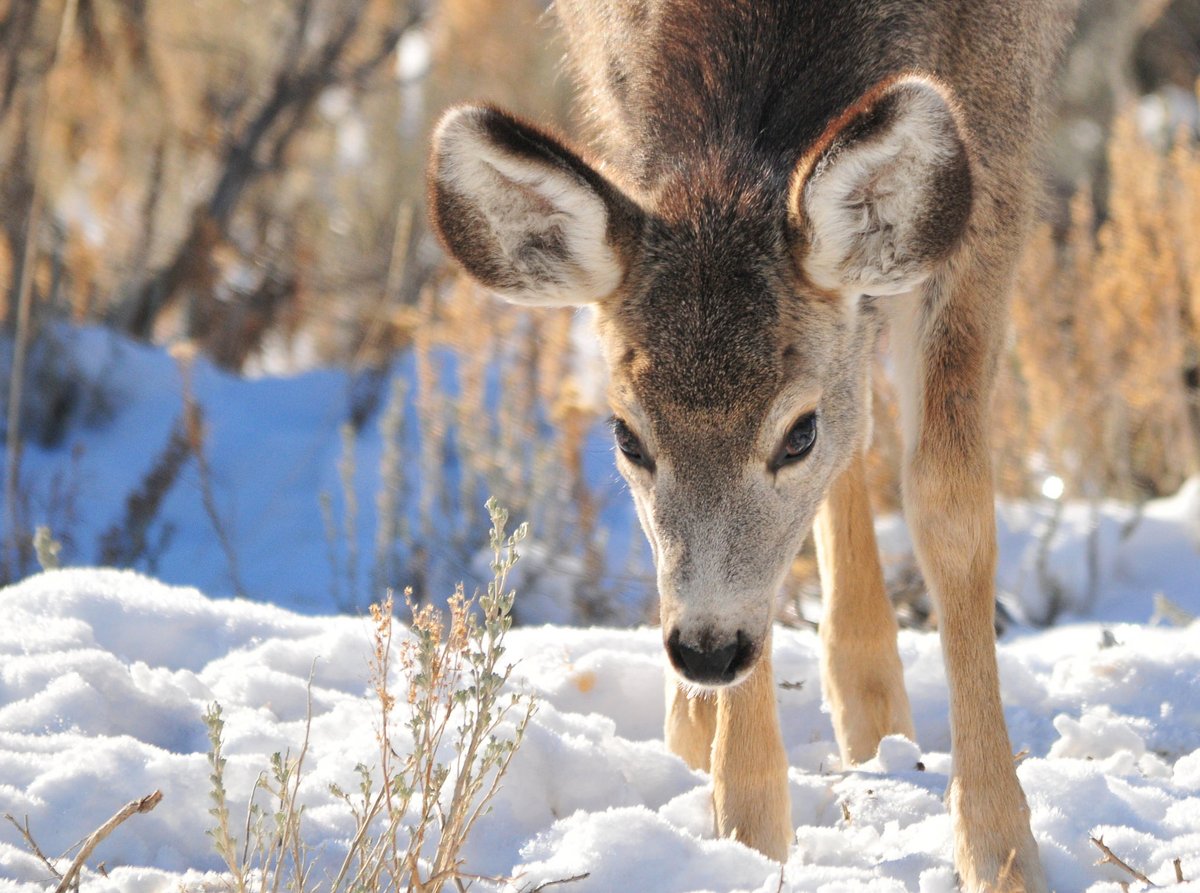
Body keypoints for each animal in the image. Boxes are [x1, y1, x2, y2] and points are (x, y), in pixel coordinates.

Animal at [429, 3, 1080, 888]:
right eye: (627, 435)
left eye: (797, 432)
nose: (706, 650)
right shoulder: (613, 81)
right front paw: (746, 826)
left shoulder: (1000, 141)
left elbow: (950, 502)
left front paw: (1000, 847)